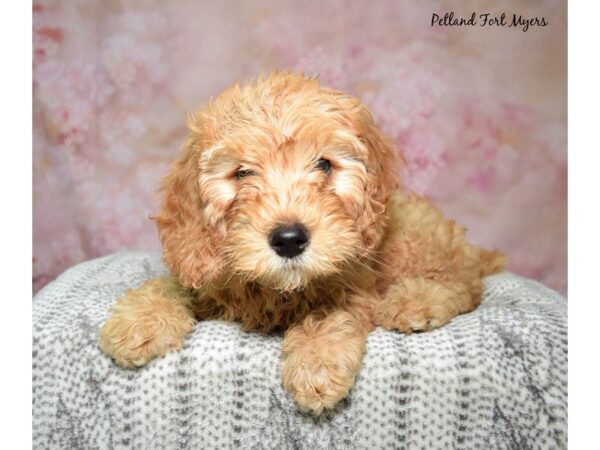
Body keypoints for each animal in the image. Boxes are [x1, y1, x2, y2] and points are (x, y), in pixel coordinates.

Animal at [99, 71, 506, 414]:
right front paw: (140, 320)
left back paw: (416, 300)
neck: (278, 289)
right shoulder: (206, 272)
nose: (289, 239)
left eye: (324, 165)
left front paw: (317, 363)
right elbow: (174, 284)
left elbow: (328, 313)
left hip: (414, 242)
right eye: (242, 173)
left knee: (465, 284)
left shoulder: (356, 287)